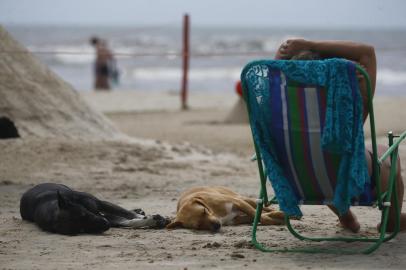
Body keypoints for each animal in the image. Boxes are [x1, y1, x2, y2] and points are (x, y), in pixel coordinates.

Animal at [20, 182, 170, 235]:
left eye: (84, 214)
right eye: (81, 230)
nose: (105, 225)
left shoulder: (99, 204)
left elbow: (126, 214)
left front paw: (148, 217)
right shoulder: (104, 217)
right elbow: (128, 221)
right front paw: (152, 220)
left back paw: (138, 211)